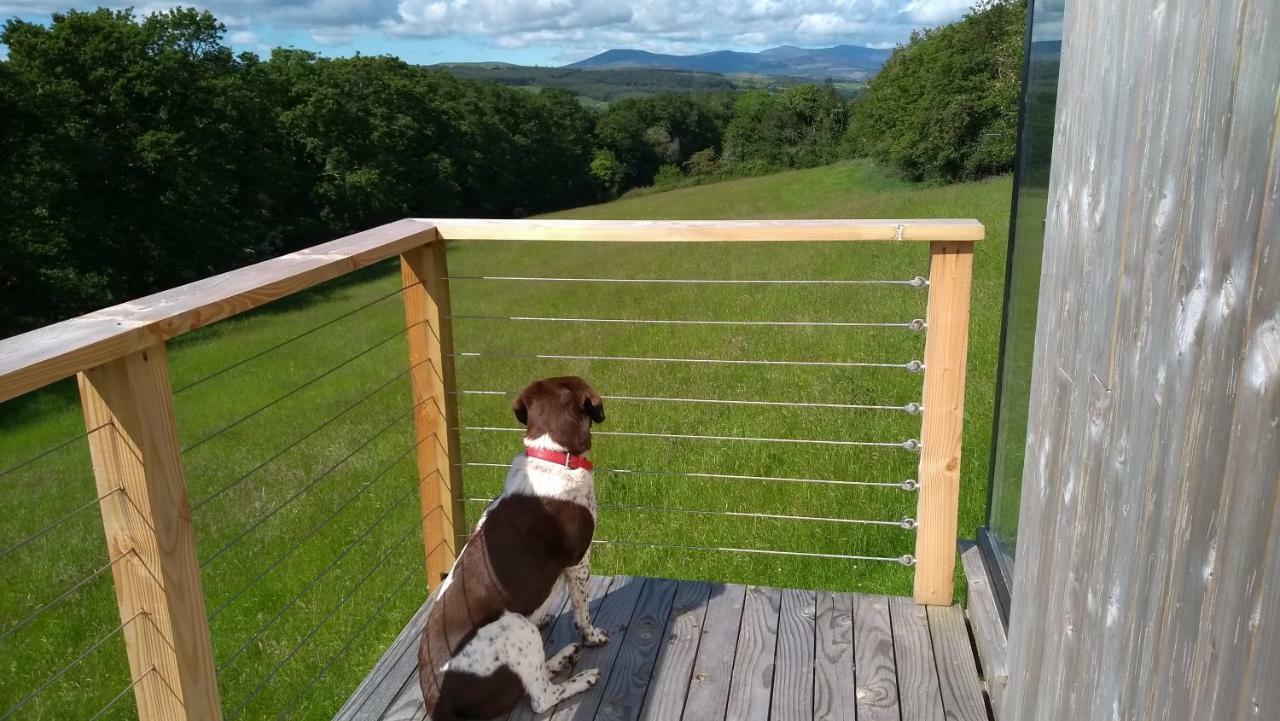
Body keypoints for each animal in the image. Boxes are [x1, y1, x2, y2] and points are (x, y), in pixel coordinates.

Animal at [414, 379, 604, 721]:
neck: (551, 457)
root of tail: (438, 705)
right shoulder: (579, 562)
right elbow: (582, 613)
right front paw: (592, 637)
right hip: (515, 627)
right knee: (540, 697)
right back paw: (580, 676)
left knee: (533, 679)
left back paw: (560, 658)